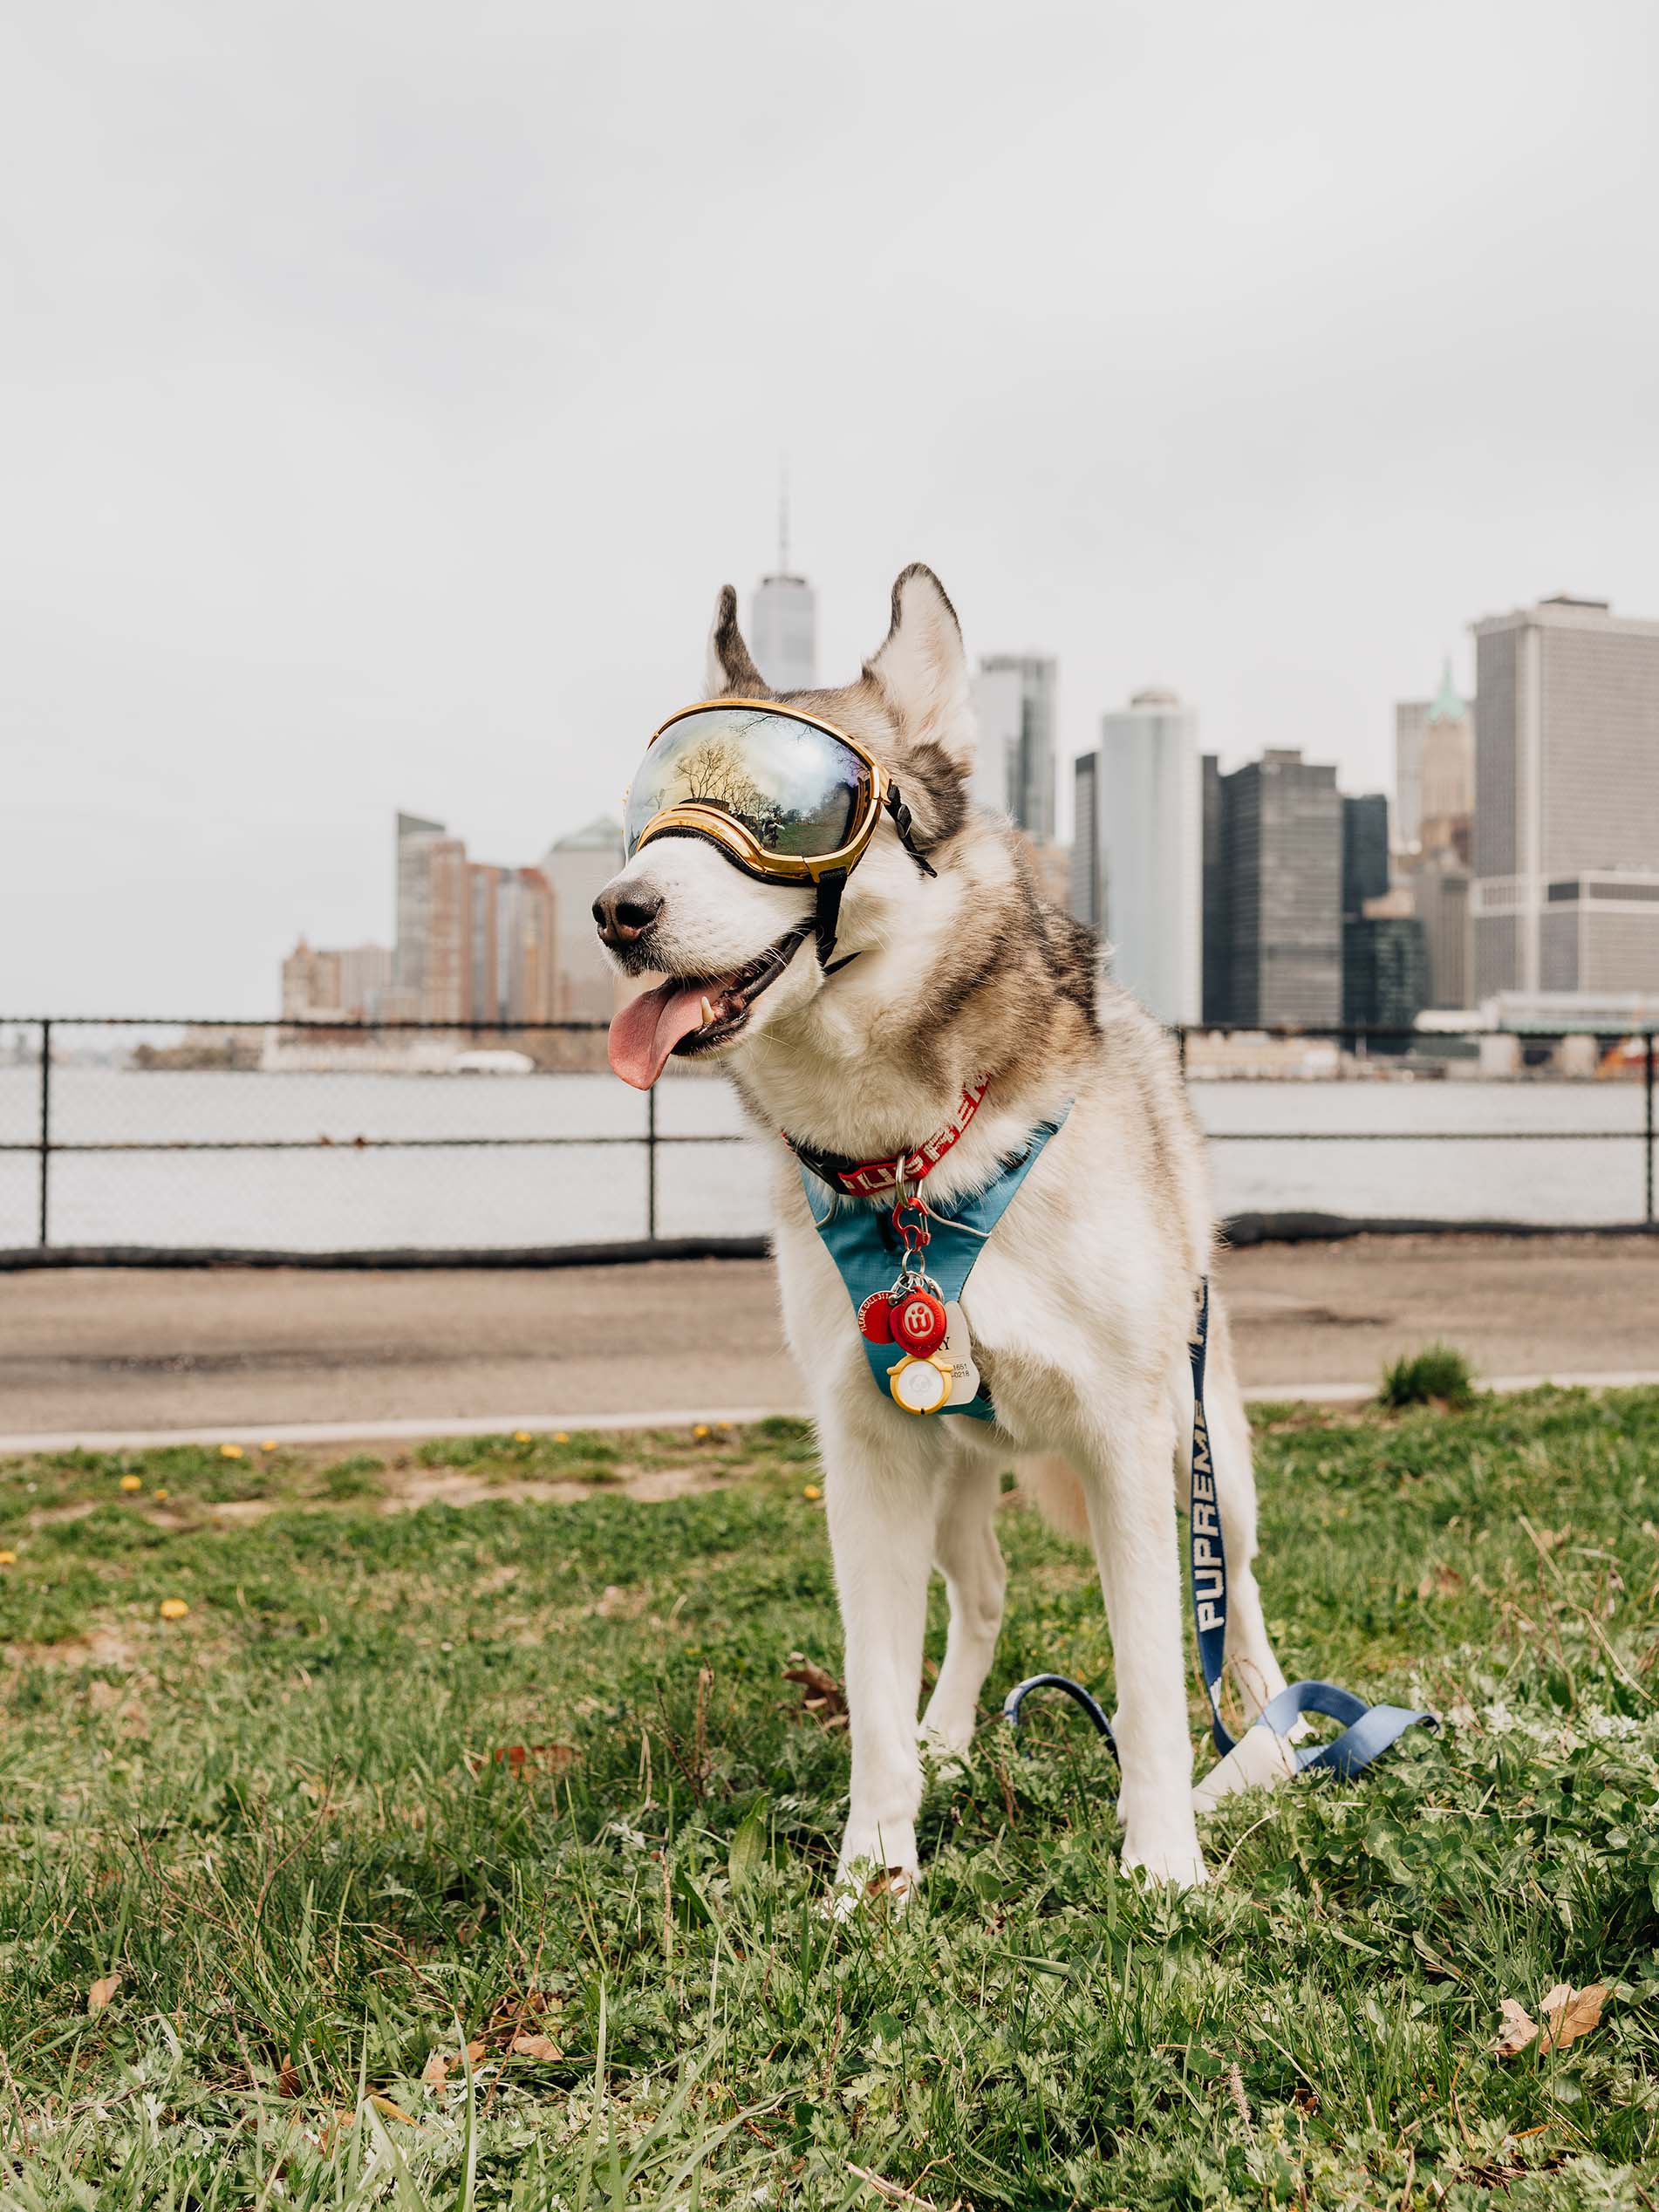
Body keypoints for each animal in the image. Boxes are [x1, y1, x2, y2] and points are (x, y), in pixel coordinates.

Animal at [597, 566, 1301, 1884]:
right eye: (647, 810)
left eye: (790, 814)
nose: (619, 908)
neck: (913, 1160)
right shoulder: (869, 1455)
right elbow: (872, 1692)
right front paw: (874, 1874)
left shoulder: (1132, 1440)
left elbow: (1152, 1679)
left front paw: (1164, 1866)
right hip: (960, 1478)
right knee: (981, 1597)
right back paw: (954, 1738)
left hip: (1212, 1450)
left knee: (1234, 1609)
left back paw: (1274, 1743)